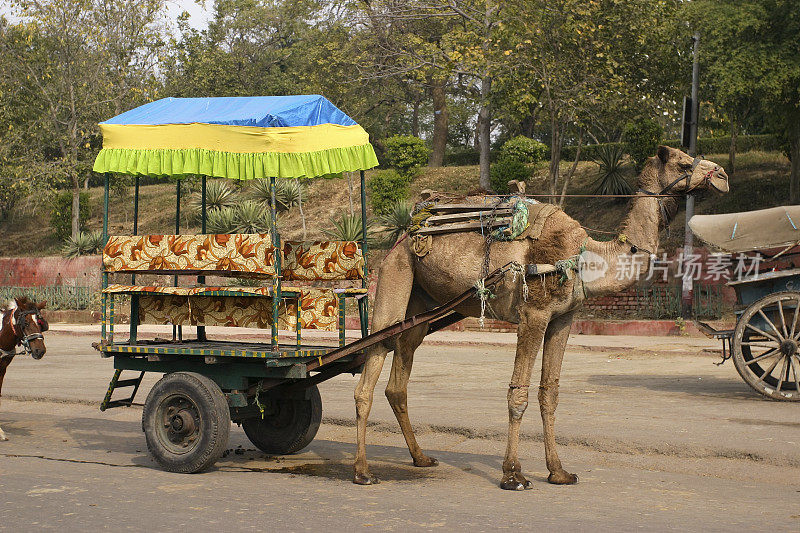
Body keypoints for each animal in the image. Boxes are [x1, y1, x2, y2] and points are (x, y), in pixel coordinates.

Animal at [354, 144, 728, 486]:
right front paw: (513, 474)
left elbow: (550, 394)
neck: (586, 257)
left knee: (400, 370)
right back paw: (363, 471)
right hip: (396, 272)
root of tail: (408, 231)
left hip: (422, 298)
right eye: (683, 162)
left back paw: (419, 457)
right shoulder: (534, 313)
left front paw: (558, 471)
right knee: (374, 354)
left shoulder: (562, 319)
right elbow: (517, 392)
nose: (722, 176)